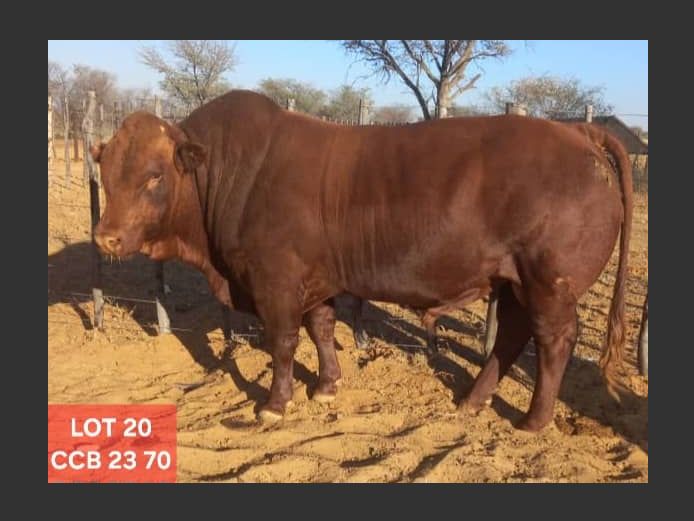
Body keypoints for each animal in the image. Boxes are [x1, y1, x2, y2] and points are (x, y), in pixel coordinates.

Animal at [91, 90, 632, 432]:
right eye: (107, 169)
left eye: (155, 175)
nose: (106, 237)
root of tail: (577, 132)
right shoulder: (314, 279)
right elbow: (322, 329)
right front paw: (327, 386)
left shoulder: (275, 280)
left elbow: (284, 343)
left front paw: (275, 403)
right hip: (513, 281)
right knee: (513, 336)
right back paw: (472, 401)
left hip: (548, 283)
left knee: (553, 342)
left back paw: (533, 421)